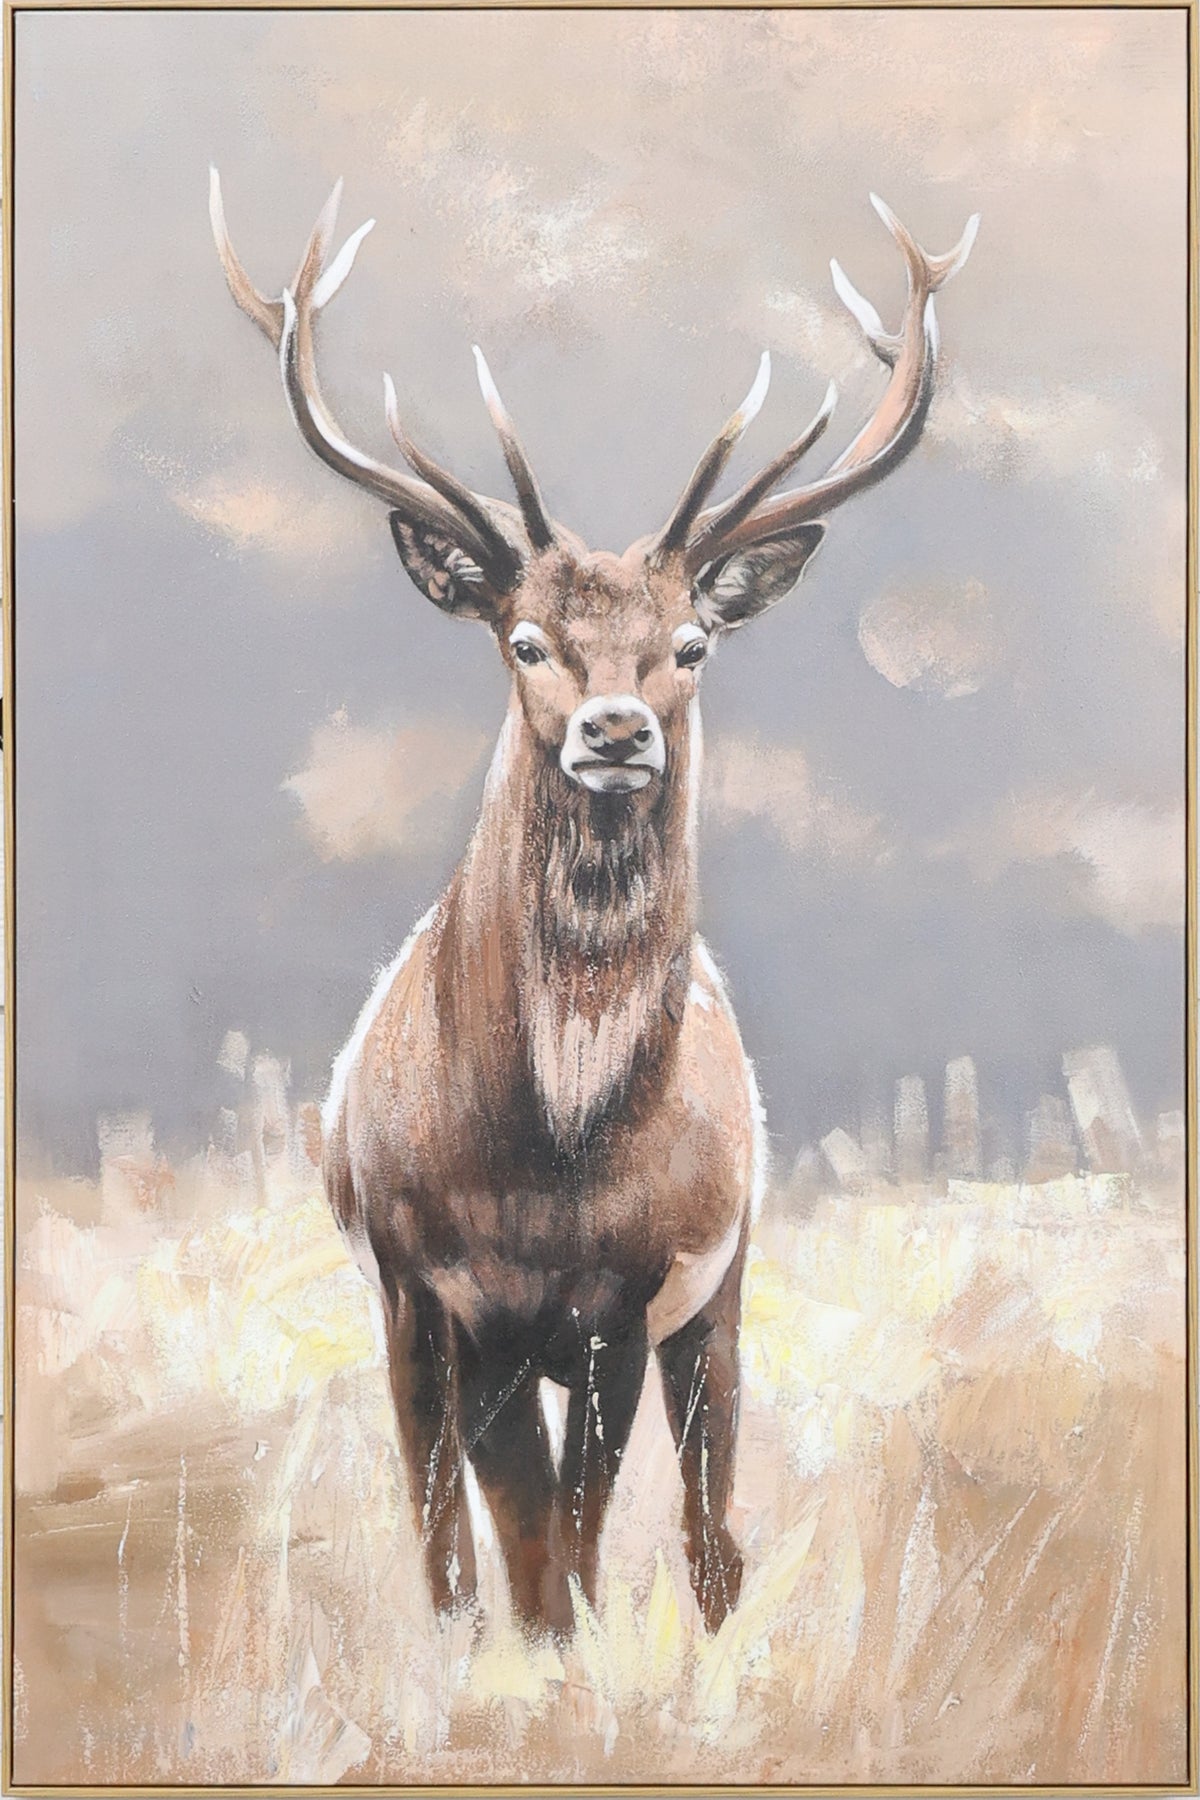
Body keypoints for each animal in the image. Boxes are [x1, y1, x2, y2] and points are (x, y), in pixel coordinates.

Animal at [210, 171, 978, 1638]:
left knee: (709, 1524)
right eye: (524, 639)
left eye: (691, 644)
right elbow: (470, 1549)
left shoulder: (630, 1295)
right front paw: (490, 1660)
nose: (618, 729)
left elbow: (572, 1536)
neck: (545, 1160)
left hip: (724, 1289)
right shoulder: (420, 1285)